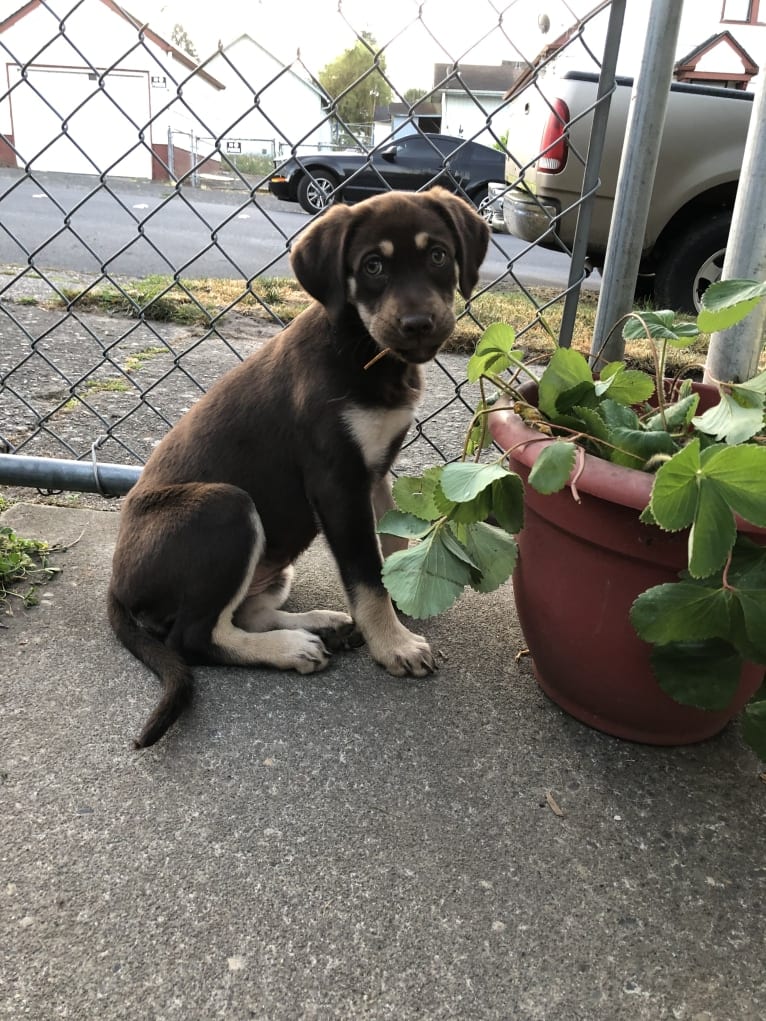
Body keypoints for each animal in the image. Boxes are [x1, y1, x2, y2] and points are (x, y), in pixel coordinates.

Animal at [108, 187, 488, 747]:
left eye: (438, 255)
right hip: (226, 507)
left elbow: (389, 544)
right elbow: (364, 574)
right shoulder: (337, 483)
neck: (362, 347)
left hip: (271, 561)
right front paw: (393, 643)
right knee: (194, 637)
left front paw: (402, 600)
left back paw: (317, 624)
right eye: (373, 266)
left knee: (244, 612)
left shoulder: (375, 473)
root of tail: (117, 584)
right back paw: (291, 649)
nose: (419, 324)